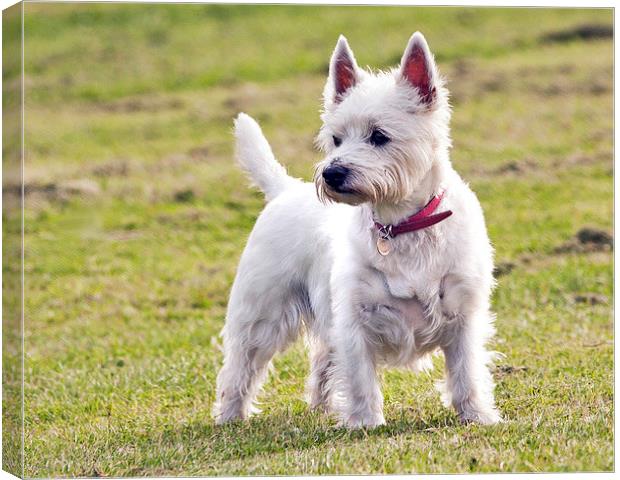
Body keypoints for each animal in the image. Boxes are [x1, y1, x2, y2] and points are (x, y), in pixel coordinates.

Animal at [213, 32, 504, 428]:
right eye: (336, 139)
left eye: (379, 136)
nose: (332, 173)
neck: (399, 225)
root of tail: (284, 190)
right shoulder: (354, 320)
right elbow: (360, 376)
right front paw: (365, 422)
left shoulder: (463, 316)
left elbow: (466, 372)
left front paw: (477, 415)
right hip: (262, 313)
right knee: (241, 366)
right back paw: (231, 415)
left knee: (321, 361)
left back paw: (322, 406)